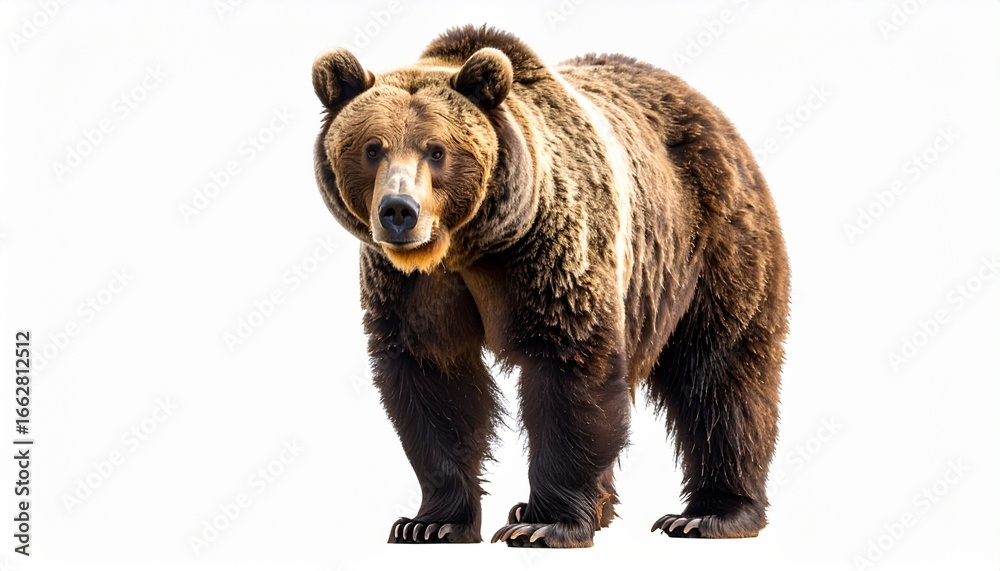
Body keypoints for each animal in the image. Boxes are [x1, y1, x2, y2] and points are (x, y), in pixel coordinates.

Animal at [312, 25, 789, 548]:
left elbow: (571, 365)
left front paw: (545, 524)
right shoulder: (413, 288)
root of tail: (711, 110)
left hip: (709, 246)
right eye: (371, 148)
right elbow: (433, 380)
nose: (399, 211)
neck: (470, 248)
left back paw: (709, 515)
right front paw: (430, 522)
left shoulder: (551, 253)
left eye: (437, 150)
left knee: (721, 371)